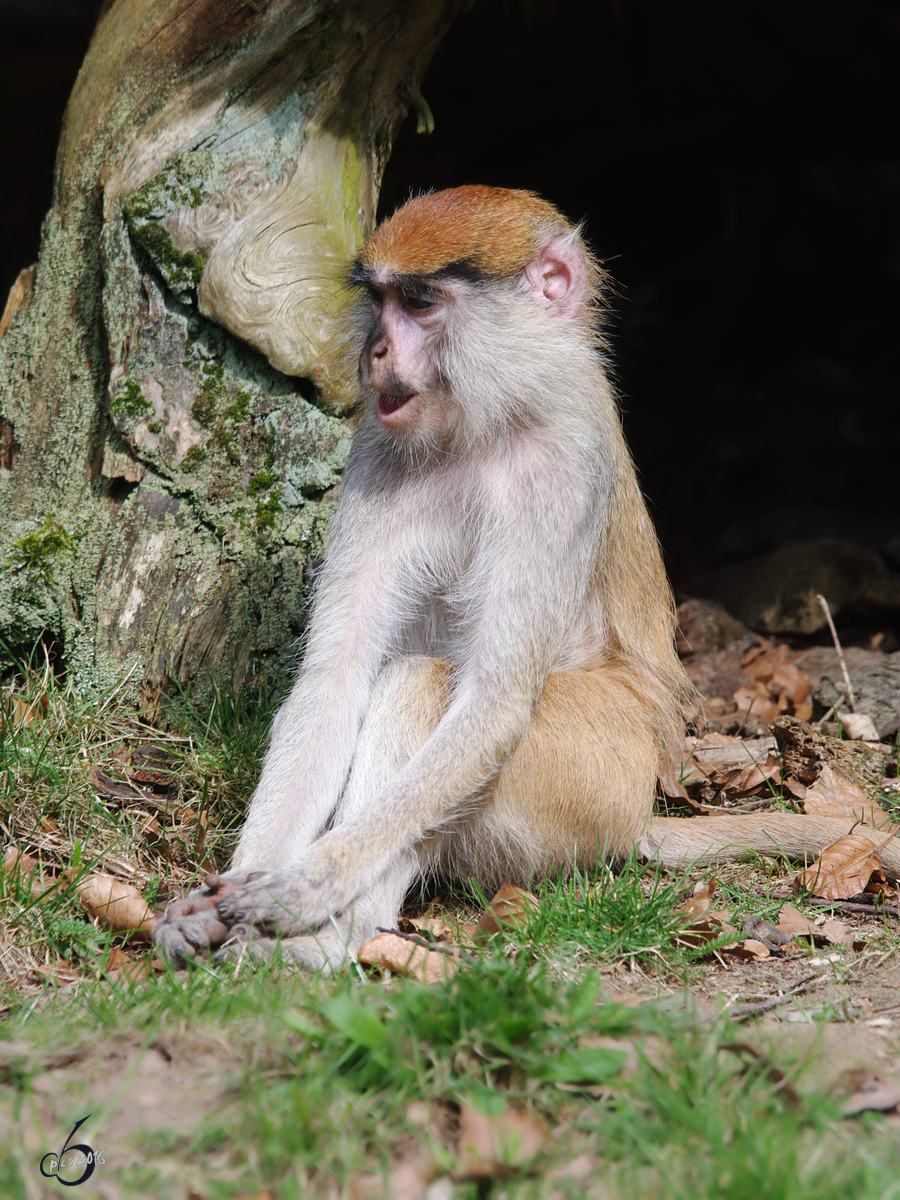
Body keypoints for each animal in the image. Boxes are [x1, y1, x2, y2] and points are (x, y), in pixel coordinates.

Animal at [154, 189, 900, 974]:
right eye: (378, 301)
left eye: (419, 302)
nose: (374, 352)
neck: (492, 417)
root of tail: (640, 808)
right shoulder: (380, 451)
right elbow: (334, 678)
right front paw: (214, 903)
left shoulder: (560, 474)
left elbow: (496, 703)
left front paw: (304, 888)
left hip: (587, 780)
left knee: (420, 682)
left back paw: (331, 943)